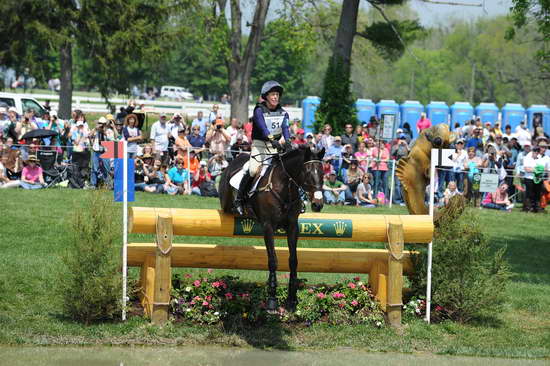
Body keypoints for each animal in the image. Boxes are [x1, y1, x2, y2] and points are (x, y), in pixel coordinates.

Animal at [219, 146, 326, 312]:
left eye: (322, 173)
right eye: (307, 173)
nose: (317, 204)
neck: (284, 187)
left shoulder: (293, 226)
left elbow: (293, 260)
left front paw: (292, 299)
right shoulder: (268, 226)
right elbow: (273, 260)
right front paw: (272, 299)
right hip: (225, 202)